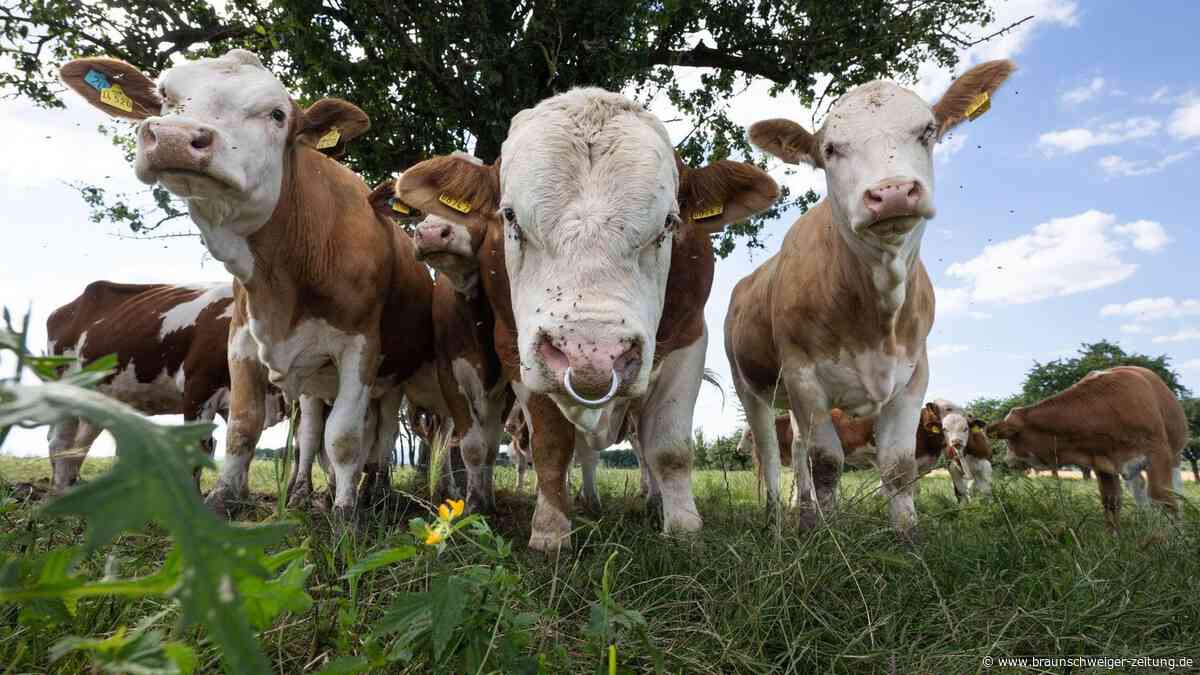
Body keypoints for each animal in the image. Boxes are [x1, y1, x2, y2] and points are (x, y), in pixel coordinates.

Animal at [45, 281, 285, 494]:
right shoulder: (198, 386)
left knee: (78, 445)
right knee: (60, 442)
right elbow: (199, 447)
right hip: (65, 390)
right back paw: (59, 493)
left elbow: (242, 442)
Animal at [395, 88, 779, 550]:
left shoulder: (689, 339)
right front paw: (550, 531)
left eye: (668, 223)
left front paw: (684, 530)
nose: (593, 355)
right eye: (510, 216)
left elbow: (669, 449)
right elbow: (550, 447)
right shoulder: (515, 353)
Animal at [726, 60, 1015, 540]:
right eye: (830, 149)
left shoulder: (913, 378)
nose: (893, 191)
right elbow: (826, 464)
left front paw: (908, 539)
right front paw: (827, 538)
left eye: (928, 130)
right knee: (770, 452)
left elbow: (896, 469)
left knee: (798, 449)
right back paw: (777, 520)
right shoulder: (804, 377)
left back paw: (806, 514)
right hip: (753, 386)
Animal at [990, 366, 1189, 532]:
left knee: (1175, 491)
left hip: (1175, 455)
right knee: (1138, 486)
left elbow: (1164, 500)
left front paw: (1173, 541)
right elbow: (1111, 502)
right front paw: (1115, 538)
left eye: (1008, 442)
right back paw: (1144, 519)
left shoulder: (1158, 454)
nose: (1007, 460)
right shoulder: (1102, 462)